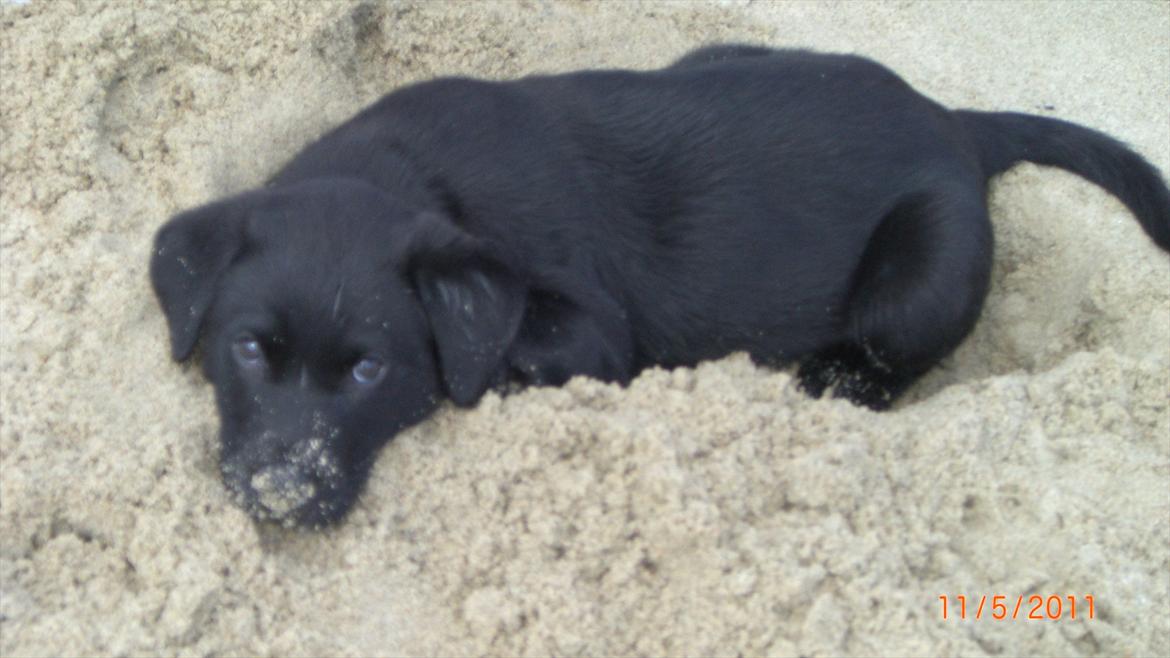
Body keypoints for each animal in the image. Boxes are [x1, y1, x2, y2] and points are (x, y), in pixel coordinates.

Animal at [150, 44, 1165, 526]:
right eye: (249, 349)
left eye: (369, 372)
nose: (281, 498)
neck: (409, 175)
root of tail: (954, 121)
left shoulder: (594, 328)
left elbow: (515, 346)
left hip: (922, 274)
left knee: (891, 357)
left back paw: (828, 383)